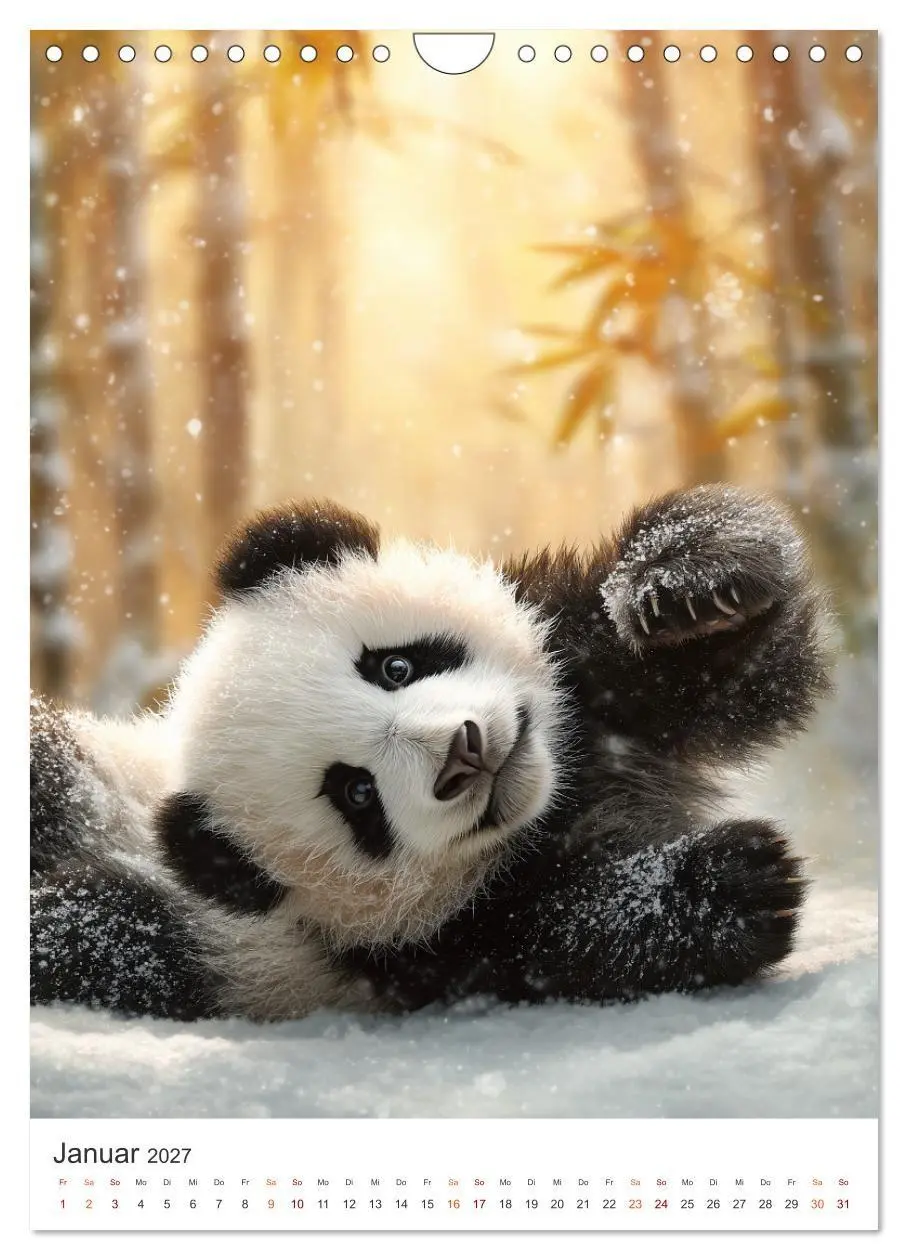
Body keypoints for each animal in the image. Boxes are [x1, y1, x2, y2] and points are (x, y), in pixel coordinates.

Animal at [31, 483, 831, 1022]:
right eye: (356, 794)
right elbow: (566, 936)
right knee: (112, 935)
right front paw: (734, 882)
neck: (558, 796)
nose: (464, 754)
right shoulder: (427, 948)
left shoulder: (580, 677)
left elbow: (745, 668)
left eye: (394, 667)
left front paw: (688, 584)